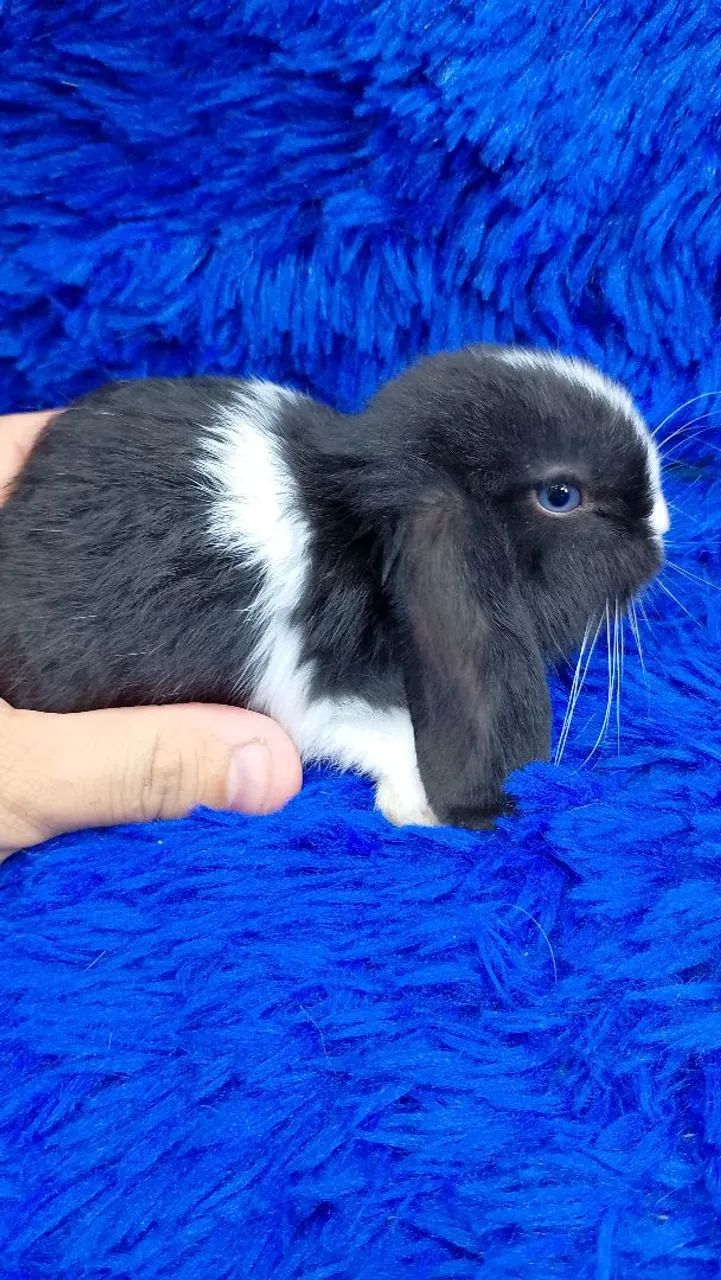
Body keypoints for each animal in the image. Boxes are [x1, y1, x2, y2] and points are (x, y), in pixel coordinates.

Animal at [0, 344, 668, 829]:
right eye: (561, 495)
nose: (662, 527)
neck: (355, 529)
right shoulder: (320, 691)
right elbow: (385, 733)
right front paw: (421, 809)